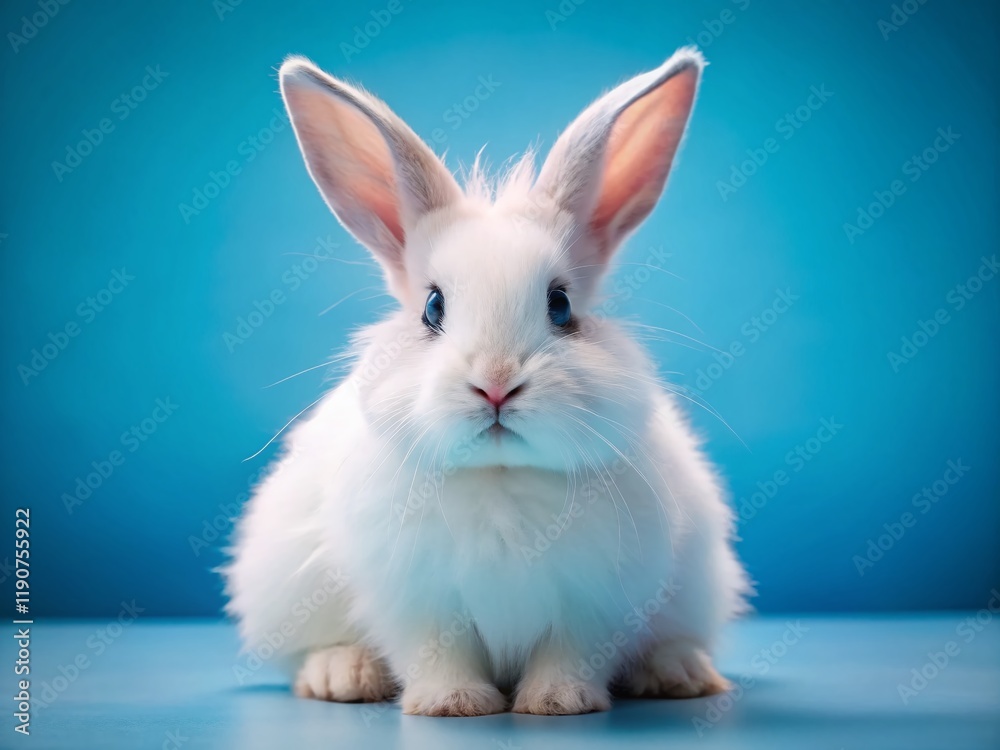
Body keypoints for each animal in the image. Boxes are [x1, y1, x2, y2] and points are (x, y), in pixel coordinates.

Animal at [224, 46, 750, 717]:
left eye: (560, 305)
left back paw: (678, 673)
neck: (499, 478)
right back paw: (342, 675)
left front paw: (559, 702)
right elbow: (436, 652)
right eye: (432, 307)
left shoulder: (595, 604)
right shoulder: (415, 603)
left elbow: (573, 652)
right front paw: (453, 703)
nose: (496, 385)